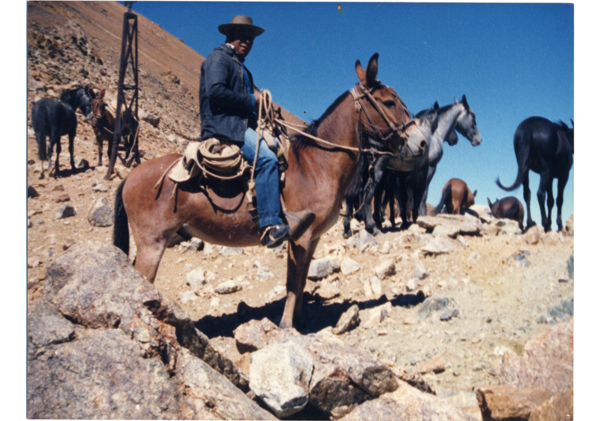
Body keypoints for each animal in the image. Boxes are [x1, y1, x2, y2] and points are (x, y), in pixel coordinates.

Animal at [112, 53, 412, 328]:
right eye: (388, 102)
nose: (416, 141)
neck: (316, 165)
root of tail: (130, 178)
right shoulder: (300, 237)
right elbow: (293, 282)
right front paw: (287, 326)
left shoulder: (313, 238)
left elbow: (303, 279)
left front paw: (300, 320)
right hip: (152, 243)